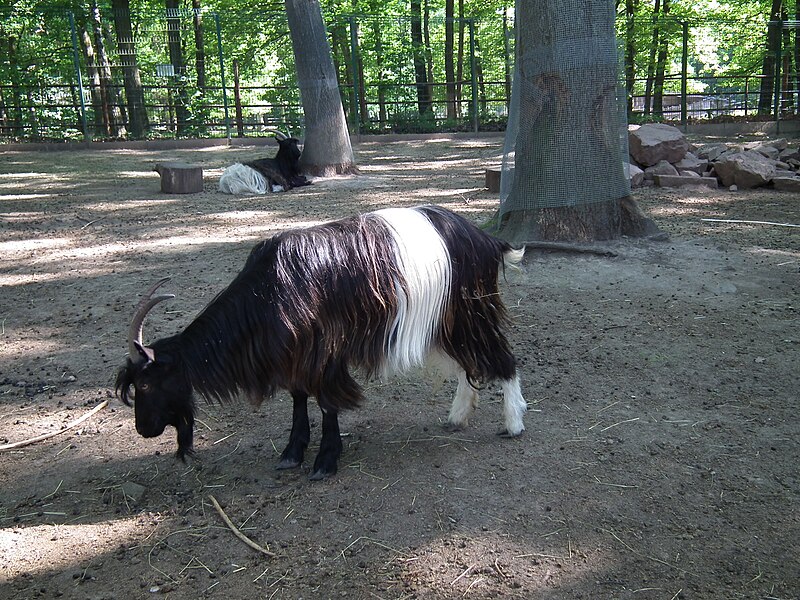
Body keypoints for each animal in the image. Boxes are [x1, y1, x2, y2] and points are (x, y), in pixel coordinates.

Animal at [112, 205, 524, 478]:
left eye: (145, 384)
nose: (143, 429)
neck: (269, 291)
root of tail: (488, 240)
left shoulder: (324, 353)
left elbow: (326, 403)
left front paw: (325, 460)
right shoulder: (295, 356)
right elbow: (298, 399)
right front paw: (292, 452)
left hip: (471, 312)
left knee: (502, 358)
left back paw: (514, 423)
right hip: (445, 323)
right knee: (469, 365)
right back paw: (457, 417)